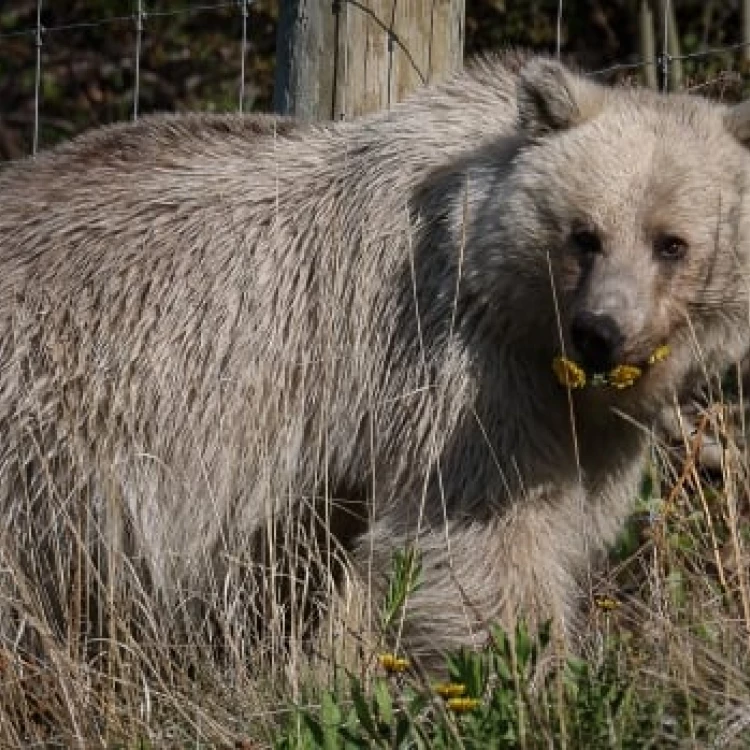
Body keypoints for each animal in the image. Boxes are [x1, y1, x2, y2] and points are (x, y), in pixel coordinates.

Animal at [1, 55, 750, 672]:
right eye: (583, 234)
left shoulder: (580, 422)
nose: (601, 331)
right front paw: (528, 674)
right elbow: (481, 534)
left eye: (672, 243)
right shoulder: (455, 362)